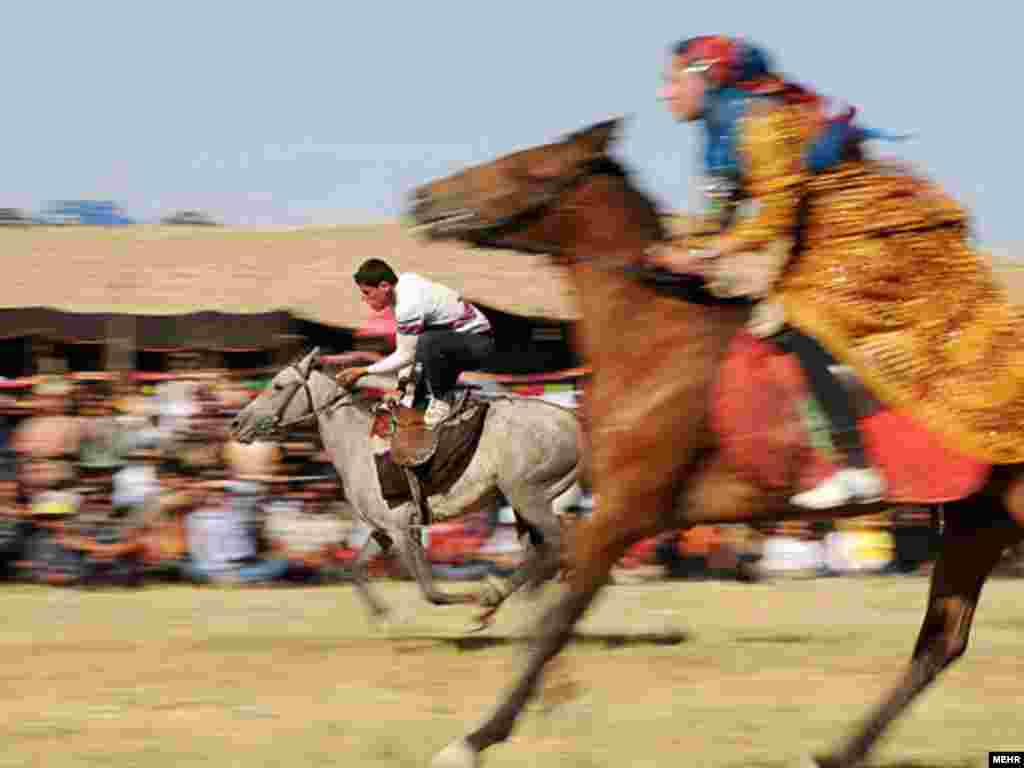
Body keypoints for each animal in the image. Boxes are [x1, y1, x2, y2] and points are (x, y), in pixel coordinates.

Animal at [233, 352, 585, 626]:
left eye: (278, 386)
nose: (237, 423)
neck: (357, 445)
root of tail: (573, 420)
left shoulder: (402, 530)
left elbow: (432, 592)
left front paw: (475, 597)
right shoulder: (383, 530)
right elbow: (355, 569)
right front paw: (381, 615)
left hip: (528, 495)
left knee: (555, 546)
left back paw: (498, 600)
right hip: (523, 501)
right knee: (538, 553)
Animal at [405, 117, 1024, 765]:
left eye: (530, 167)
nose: (425, 198)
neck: (653, 340)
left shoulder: (627, 513)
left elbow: (556, 620)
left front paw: (478, 736)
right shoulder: (617, 511)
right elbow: (543, 568)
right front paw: (489, 601)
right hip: (977, 521)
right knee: (941, 643)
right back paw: (835, 752)